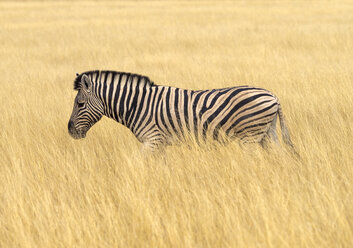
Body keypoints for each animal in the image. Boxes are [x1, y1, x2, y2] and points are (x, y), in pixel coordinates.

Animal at [67, 70, 292, 151]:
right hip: (267, 134)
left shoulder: (152, 140)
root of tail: (273, 96)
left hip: (250, 137)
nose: (70, 131)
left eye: (80, 104)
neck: (135, 105)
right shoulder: (159, 143)